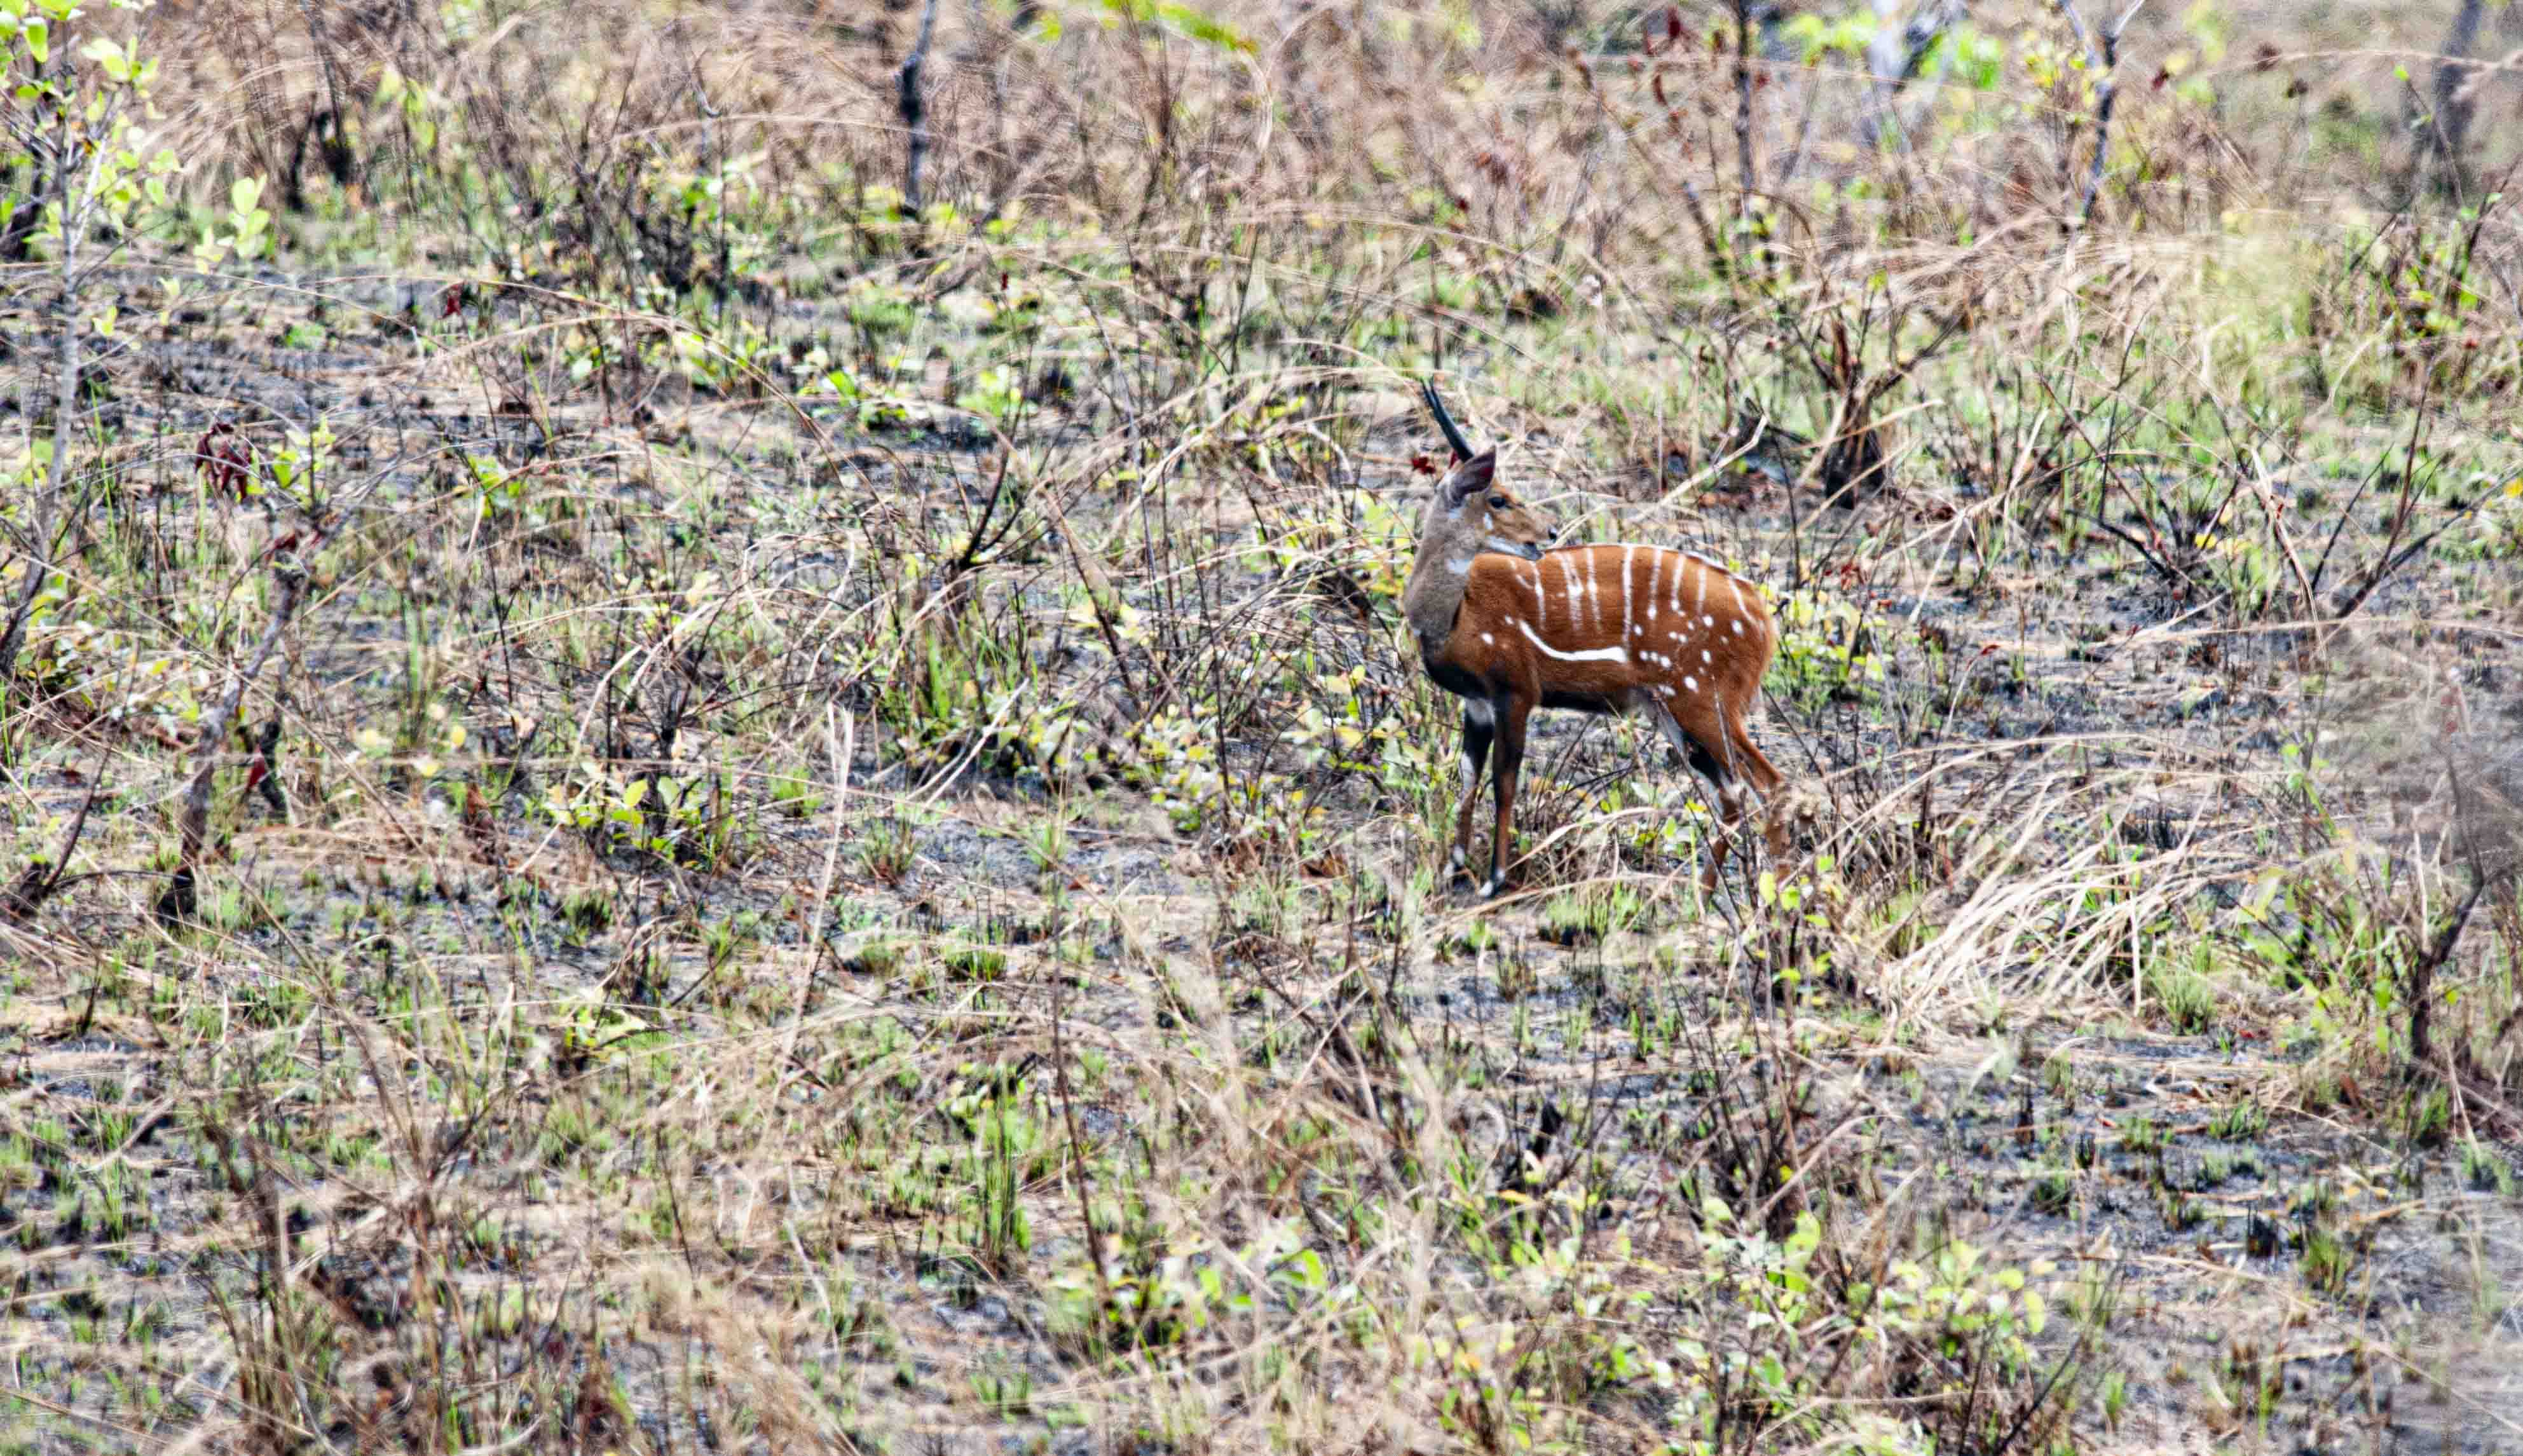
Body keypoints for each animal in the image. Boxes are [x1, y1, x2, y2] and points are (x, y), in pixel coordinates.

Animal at [1402, 381, 1796, 893]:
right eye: (1498, 499)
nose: (1548, 532)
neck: (1454, 618)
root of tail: (1762, 617)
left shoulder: (1516, 692)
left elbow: (1504, 782)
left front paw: (1493, 880)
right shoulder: (1477, 703)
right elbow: (1468, 774)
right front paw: (1454, 867)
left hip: (1706, 701)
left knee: (1770, 785)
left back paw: (1779, 899)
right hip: (1671, 710)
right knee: (1732, 791)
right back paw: (1704, 895)